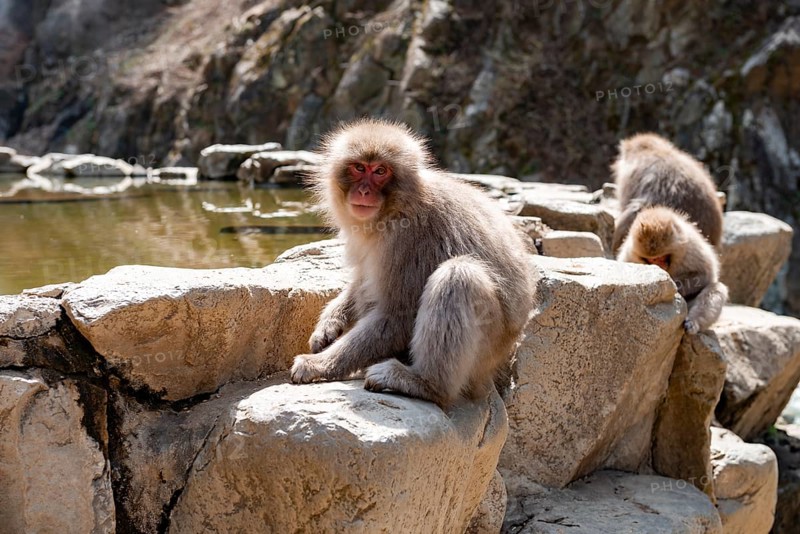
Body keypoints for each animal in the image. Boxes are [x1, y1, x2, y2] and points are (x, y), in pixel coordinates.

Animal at [289, 119, 535, 408]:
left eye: (380, 171)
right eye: (359, 168)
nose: (364, 191)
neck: (395, 207)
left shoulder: (407, 239)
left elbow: (398, 315)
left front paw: (318, 364)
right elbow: (361, 279)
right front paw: (329, 324)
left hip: (487, 348)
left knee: (458, 276)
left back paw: (423, 383)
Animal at [617, 206, 728, 334]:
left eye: (661, 257)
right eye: (652, 259)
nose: (659, 265)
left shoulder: (691, 247)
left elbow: (704, 275)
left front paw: (675, 284)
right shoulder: (629, 256)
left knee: (716, 288)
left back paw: (693, 322)